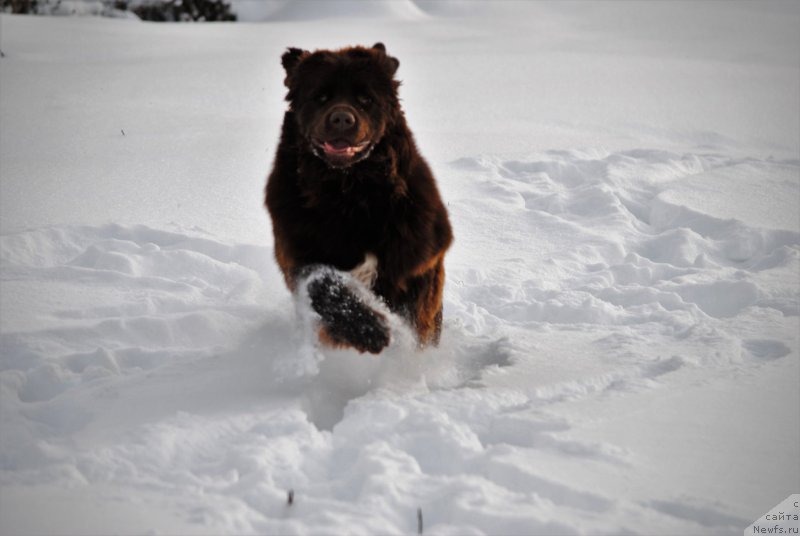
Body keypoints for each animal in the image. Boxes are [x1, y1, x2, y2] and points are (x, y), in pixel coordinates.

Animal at [266, 44, 454, 354]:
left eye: (366, 98)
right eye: (320, 96)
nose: (342, 119)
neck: (349, 192)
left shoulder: (420, 259)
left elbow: (416, 316)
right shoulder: (299, 252)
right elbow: (323, 284)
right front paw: (368, 330)